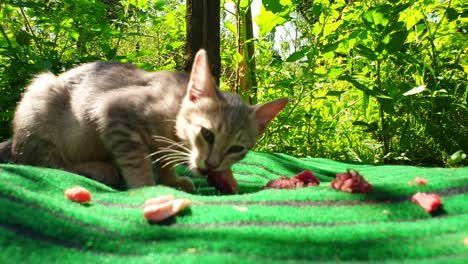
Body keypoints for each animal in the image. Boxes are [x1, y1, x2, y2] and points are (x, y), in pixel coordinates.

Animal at [4, 49, 288, 193]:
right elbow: (136, 160)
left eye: (237, 149)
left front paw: (171, 180)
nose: (211, 166)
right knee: (43, 162)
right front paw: (147, 187)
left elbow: (164, 159)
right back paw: (98, 169)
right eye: (207, 134)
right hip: (43, 95)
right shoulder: (113, 111)